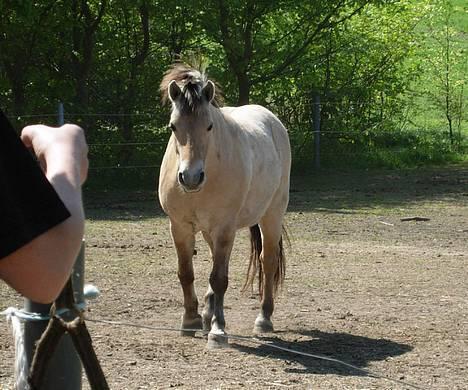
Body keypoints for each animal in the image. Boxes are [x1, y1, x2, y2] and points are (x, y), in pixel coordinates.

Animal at [159, 63, 290, 348]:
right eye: (173, 126)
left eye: (209, 126)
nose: (191, 177)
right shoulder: (180, 227)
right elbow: (186, 273)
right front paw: (190, 320)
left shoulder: (224, 227)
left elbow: (219, 278)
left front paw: (218, 331)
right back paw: (207, 313)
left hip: (271, 215)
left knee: (267, 260)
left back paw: (263, 318)